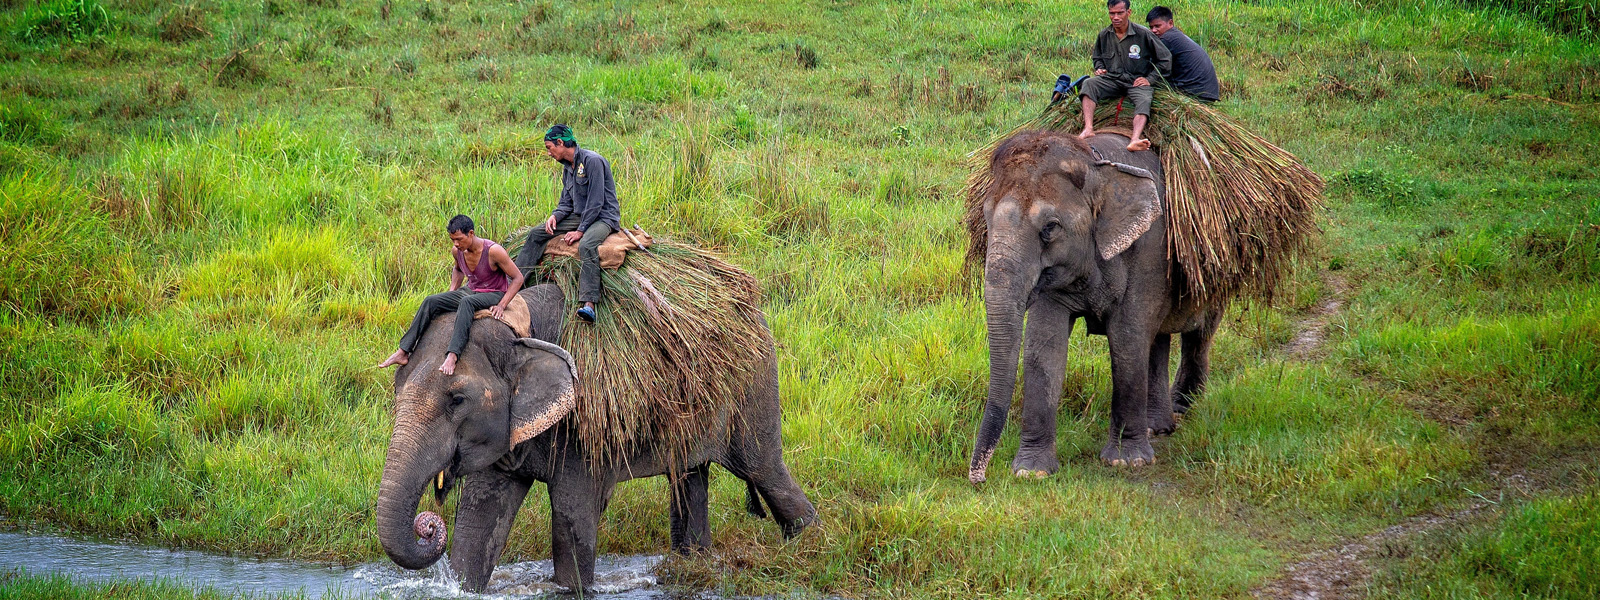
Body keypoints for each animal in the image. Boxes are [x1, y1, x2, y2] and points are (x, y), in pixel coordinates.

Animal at [379, 281, 819, 592]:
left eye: (456, 399)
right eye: (397, 388)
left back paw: (809, 544)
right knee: (690, 478)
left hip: (753, 382)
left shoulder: (585, 419)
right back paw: (692, 565)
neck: (519, 328)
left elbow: (572, 516)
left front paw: (572, 588)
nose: (428, 525)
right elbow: (480, 517)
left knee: (763, 470)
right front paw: (464, 586)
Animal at [960, 130, 1222, 483]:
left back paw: (1182, 407)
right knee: (1157, 338)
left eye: (1050, 228)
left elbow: (1126, 338)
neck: (1095, 163)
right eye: (985, 219)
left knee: (1198, 330)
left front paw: (1126, 462)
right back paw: (1158, 427)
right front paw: (1031, 472)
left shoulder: (1150, 247)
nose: (979, 478)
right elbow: (1042, 347)